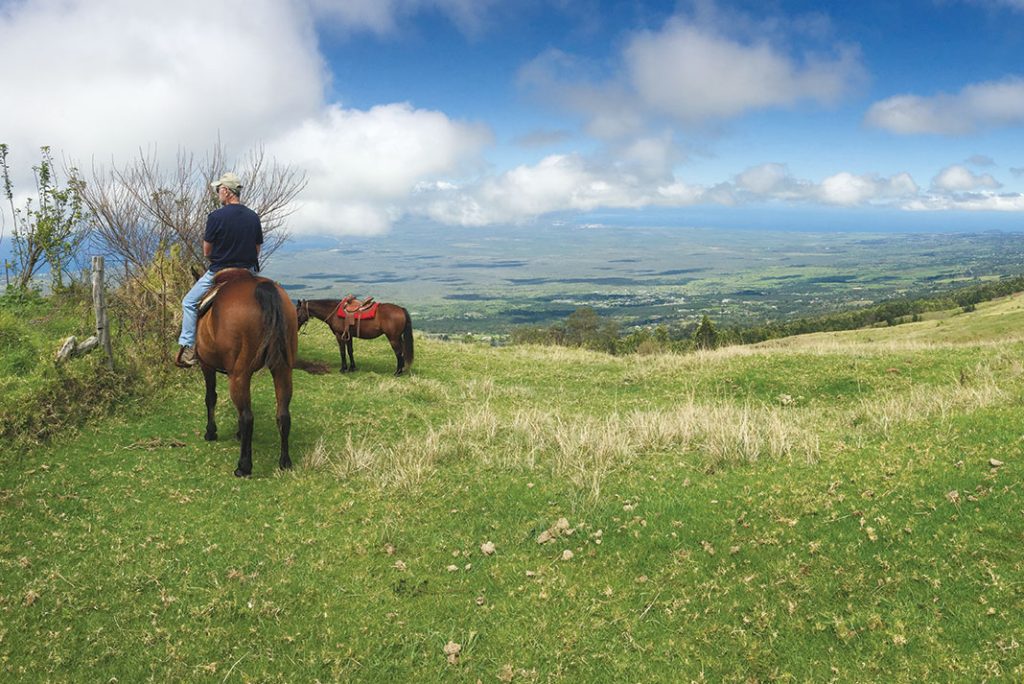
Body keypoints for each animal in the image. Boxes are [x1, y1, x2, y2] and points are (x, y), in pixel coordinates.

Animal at [195, 270, 299, 479]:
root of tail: (262, 288)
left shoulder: (206, 365)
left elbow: (210, 397)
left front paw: (211, 432)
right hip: (282, 368)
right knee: (283, 414)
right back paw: (285, 462)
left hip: (239, 374)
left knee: (247, 418)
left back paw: (243, 466)